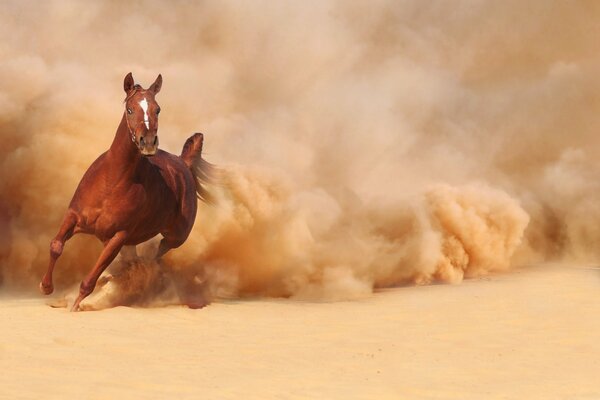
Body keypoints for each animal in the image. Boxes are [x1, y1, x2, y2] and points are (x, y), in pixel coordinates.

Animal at [40, 72, 213, 312]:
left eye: (157, 109)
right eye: (130, 109)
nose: (147, 143)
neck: (112, 182)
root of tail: (183, 164)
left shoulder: (118, 236)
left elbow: (90, 279)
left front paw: (75, 306)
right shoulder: (73, 216)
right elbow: (56, 246)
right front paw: (46, 287)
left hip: (175, 236)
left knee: (154, 257)